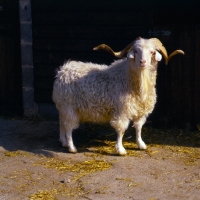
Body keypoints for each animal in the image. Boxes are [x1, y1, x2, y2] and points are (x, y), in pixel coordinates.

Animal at [52, 36, 184, 155]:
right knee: (69, 126)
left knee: (62, 121)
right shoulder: (122, 111)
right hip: (69, 106)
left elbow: (138, 128)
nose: (143, 62)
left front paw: (141, 144)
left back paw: (63, 142)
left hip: (63, 106)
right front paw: (120, 150)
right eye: (136, 51)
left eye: (152, 52)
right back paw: (72, 147)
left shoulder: (140, 110)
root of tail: (62, 71)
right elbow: (121, 130)